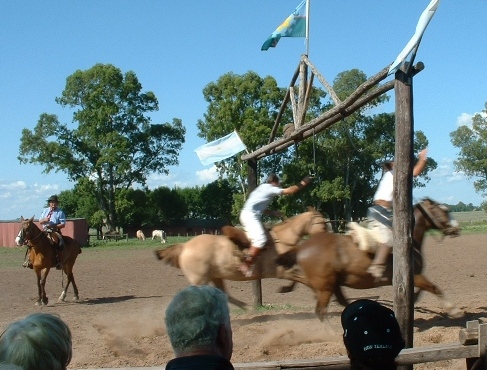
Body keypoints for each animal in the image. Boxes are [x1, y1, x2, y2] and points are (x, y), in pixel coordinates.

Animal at [155, 208, 332, 298]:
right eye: (323, 223)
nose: (328, 239)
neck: (282, 239)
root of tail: (185, 246)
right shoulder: (282, 271)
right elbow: (304, 279)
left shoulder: (288, 270)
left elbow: (301, 278)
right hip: (200, 279)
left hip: (213, 276)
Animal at [276, 198, 464, 322]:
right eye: (445, 210)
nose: (457, 228)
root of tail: (301, 247)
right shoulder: (416, 276)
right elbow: (435, 288)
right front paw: (454, 310)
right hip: (325, 286)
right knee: (321, 311)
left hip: (331, 284)